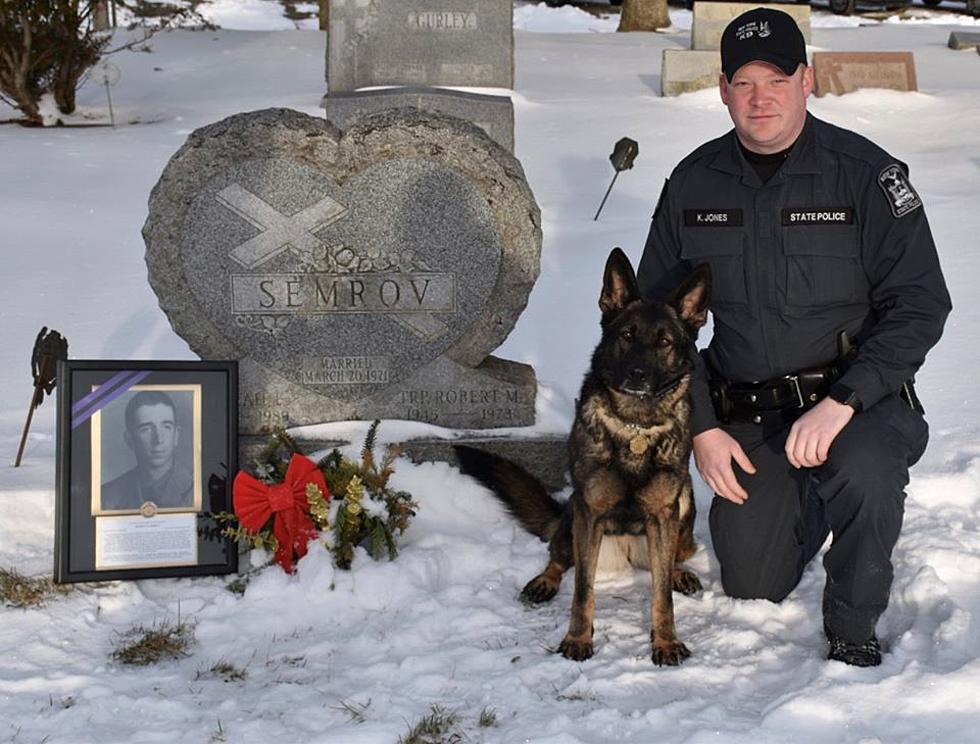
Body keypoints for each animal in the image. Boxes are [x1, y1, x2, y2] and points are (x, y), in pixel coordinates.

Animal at [456, 247, 708, 664]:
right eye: (626, 335)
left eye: (665, 342)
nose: (637, 374)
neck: (635, 426)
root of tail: (626, 554)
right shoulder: (590, 512)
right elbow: (582, 590)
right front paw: (577, 638)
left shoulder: (662, 514)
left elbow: (662, 597)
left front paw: (665, 641)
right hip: (574, 515)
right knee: (558, 557)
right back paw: (544, 581)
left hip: (682, 509)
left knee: (672, 560)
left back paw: (677, 573)